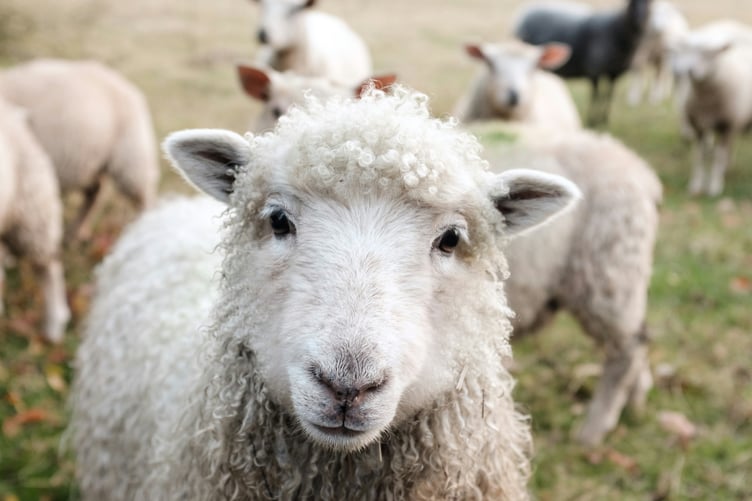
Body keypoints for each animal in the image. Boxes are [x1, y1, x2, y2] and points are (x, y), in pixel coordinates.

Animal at [0, 59, 159, 240]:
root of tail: (127, 86)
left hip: (131, 156)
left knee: (144, 197)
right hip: (91, 162)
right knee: (94, 193)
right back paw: (76, 232)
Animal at [514, 0, 651, 126]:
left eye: (649, 3)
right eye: (631, 3)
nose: (639, 19)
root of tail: (527, 10)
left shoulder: (614, 73)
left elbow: (608, 95)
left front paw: (604, 119)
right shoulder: (594, 70)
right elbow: (596, 96)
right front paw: (592, 120)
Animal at [670, 20, 752, 196]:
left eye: (709, 54)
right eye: (687, 50)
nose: (689, 71)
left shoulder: (727, 125)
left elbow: (718, 157)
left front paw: (715, 186)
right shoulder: (698, 126)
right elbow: (699, 157)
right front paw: (696, 185)